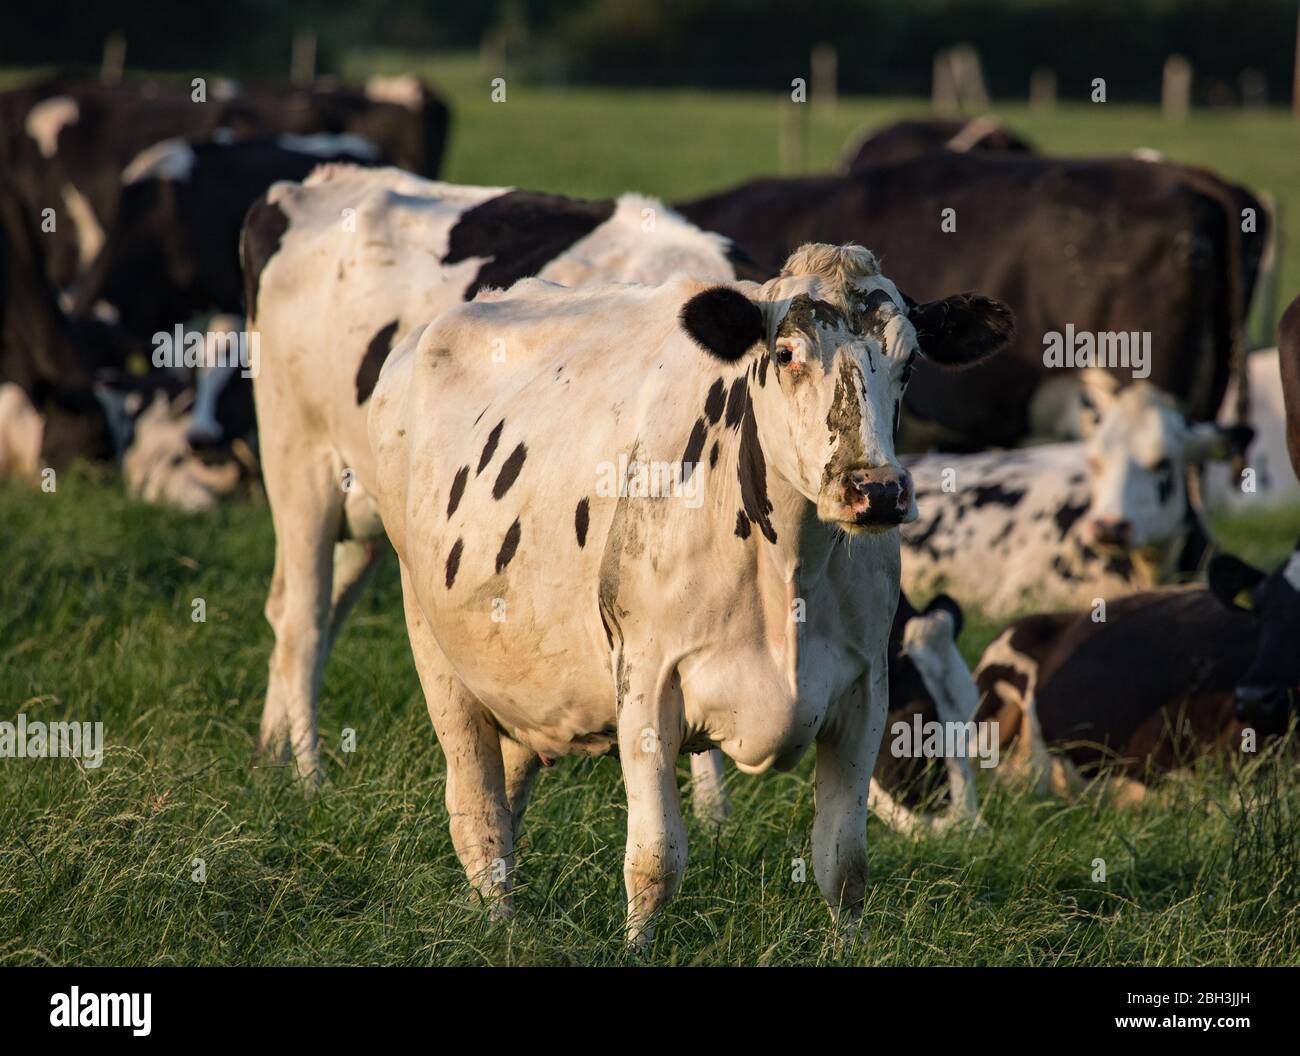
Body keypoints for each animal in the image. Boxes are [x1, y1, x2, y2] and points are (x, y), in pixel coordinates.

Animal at [361, 245, 1008, 941]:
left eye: (909, 361)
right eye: (786, 354)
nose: (877, 490)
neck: (790, 573)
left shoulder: (865, 690)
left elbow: (844, 864)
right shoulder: (646, 683)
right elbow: (654, 860)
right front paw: (634, 947)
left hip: (518, 682)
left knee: (507, 797)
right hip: (432, 646)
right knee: (477, 814)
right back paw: (500, 924)